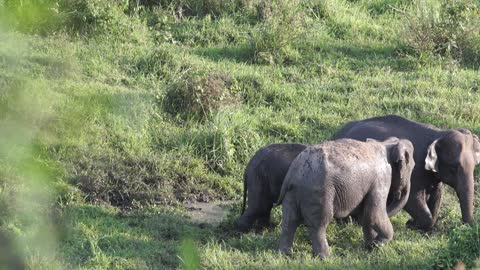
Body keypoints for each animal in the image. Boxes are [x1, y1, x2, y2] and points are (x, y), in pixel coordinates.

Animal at [278, 138, 416, 258]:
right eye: (412, 167)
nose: (409, 222)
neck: (386, 143)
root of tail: (294, 172)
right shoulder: (381, 179)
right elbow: (374, 214)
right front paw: (377, 244)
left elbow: (366, 215)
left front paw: (370, 247)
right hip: (319, 192)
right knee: (320, 224)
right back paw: (327, 258)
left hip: (293, 193)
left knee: (289, 221)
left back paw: (286, 255)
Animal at [334, 115, 480, 231]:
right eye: (453, 167)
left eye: (474, 166)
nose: (463, 225)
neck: (438, 134)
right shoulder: (414, 171)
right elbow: (412, 199)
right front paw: (411, 225)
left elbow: (437, 196)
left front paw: (423, 229)